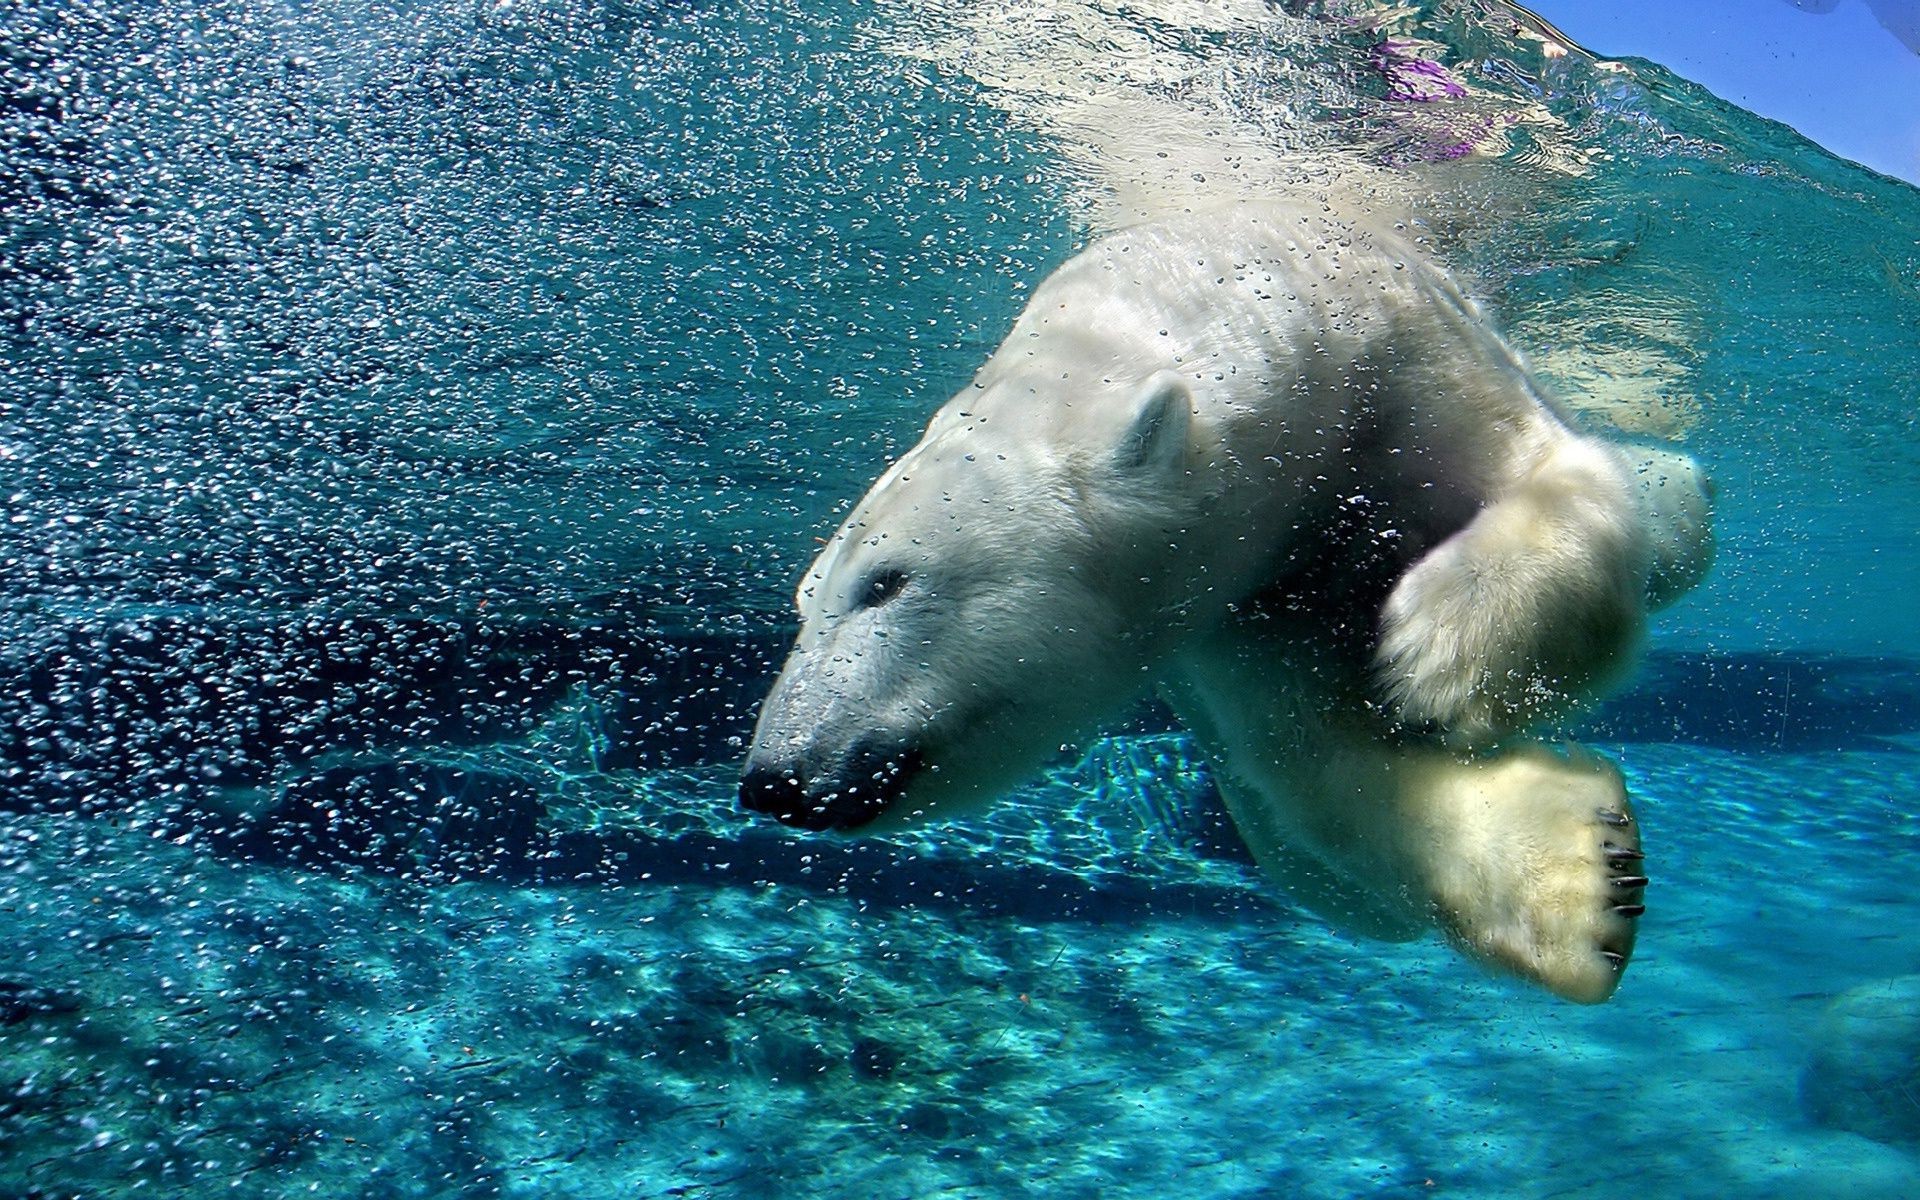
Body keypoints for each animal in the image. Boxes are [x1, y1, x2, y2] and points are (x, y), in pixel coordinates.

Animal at [737, 205, 1712, 998]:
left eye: (886, 582)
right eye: (804, 604)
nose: (776, 779)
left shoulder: (1405, 360)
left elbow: (1551, 475)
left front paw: (1442, 653)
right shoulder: (1228, 612)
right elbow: (1317, 761)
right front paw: (1586, 877)